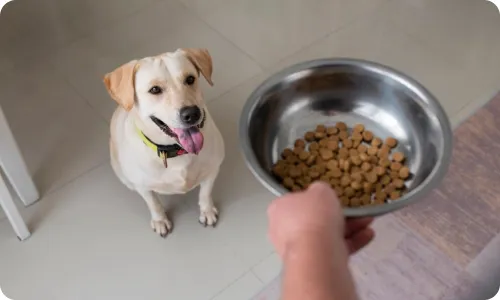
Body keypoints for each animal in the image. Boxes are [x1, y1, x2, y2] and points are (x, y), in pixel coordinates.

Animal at [103, 48, 225, 237]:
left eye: (190, 79)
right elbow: (154, 204)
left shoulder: (212, 170)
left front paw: (207, 211)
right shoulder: (143, 187)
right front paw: (160, 221)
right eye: (155, 89)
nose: (192, 114)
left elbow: (205, 194)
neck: (176, 151)